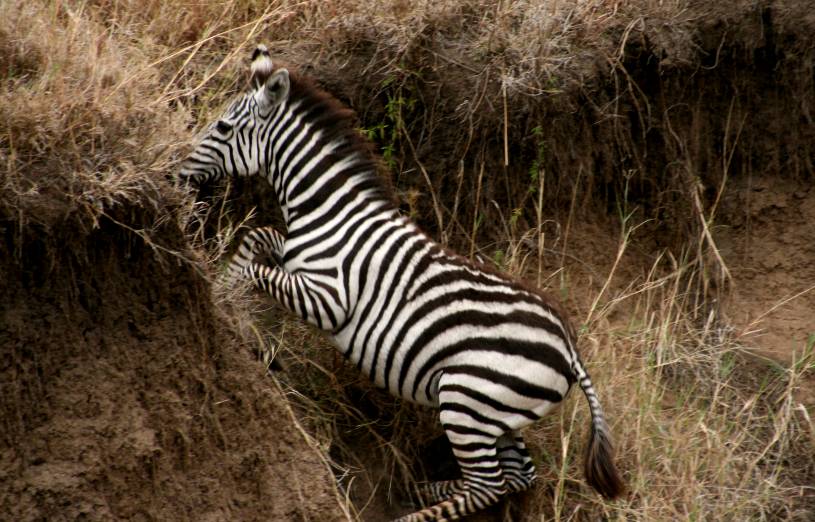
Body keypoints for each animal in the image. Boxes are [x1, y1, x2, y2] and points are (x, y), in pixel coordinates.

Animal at [178, 43, 624, 516]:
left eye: (223, 127)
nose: (179, 171)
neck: (330, 210)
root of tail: (569, 348)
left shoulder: (330, 300)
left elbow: (258, 268)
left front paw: (226, 298)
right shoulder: (296, 260)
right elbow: (259, 236)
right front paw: (222, 288)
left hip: (467, 401)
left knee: (488, 485)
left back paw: (414, 512)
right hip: (498, 413)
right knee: (517, 477)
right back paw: (423, 488)